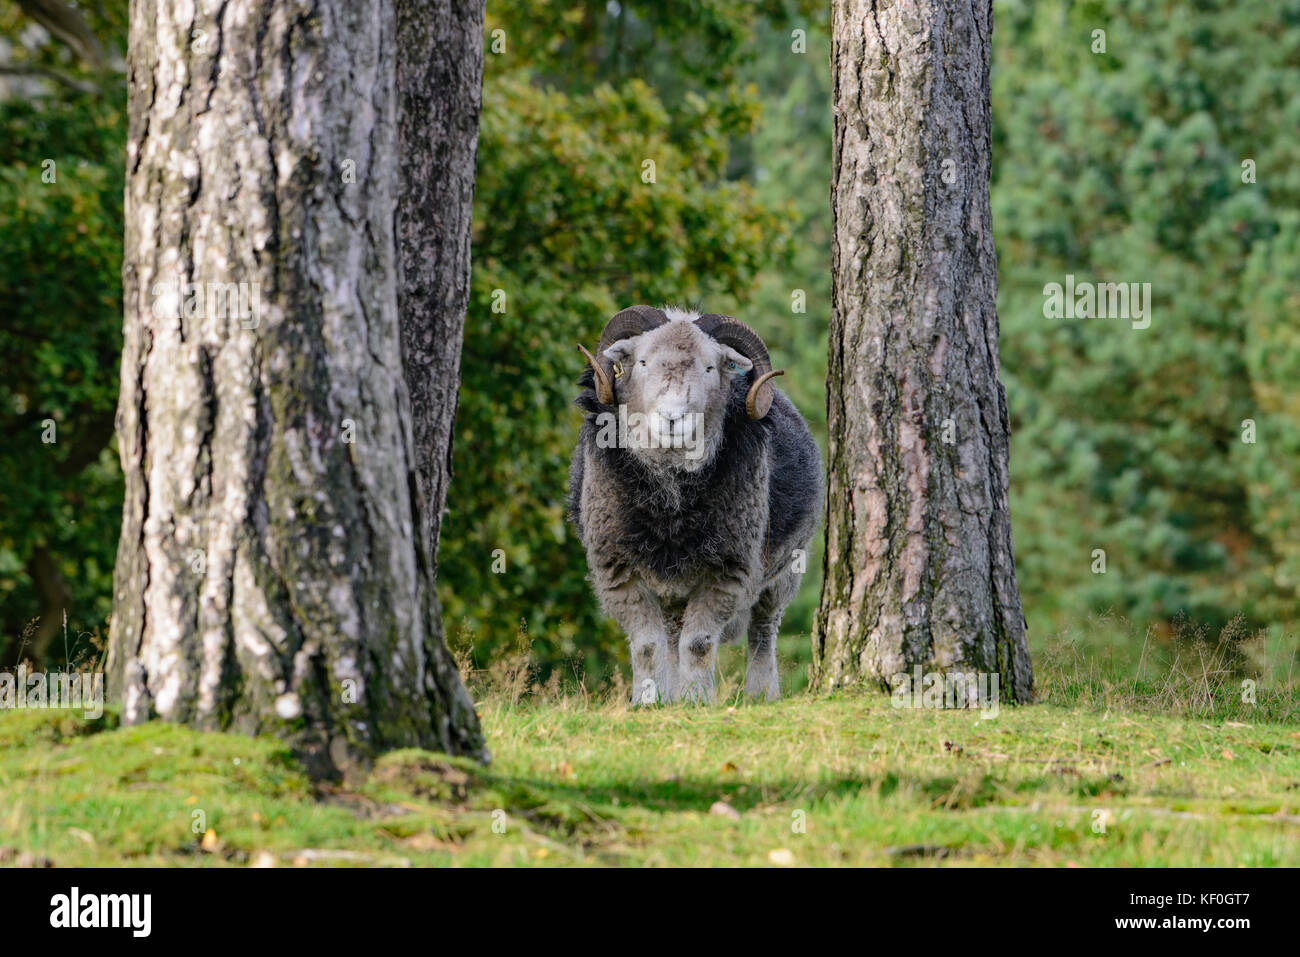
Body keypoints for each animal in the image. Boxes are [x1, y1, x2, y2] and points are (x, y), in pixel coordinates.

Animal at [569, 306, 821, 702]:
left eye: (709, 367)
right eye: (643, 361)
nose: (673, 418)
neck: (670, 502)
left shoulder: (728, 572)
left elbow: (699, 643)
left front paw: (697, 700)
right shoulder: (619, 573)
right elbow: (647, 645)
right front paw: (648, 701)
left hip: (784, 574)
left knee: (762, 632)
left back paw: (761, 694)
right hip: (673, 593)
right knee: (672, 637)